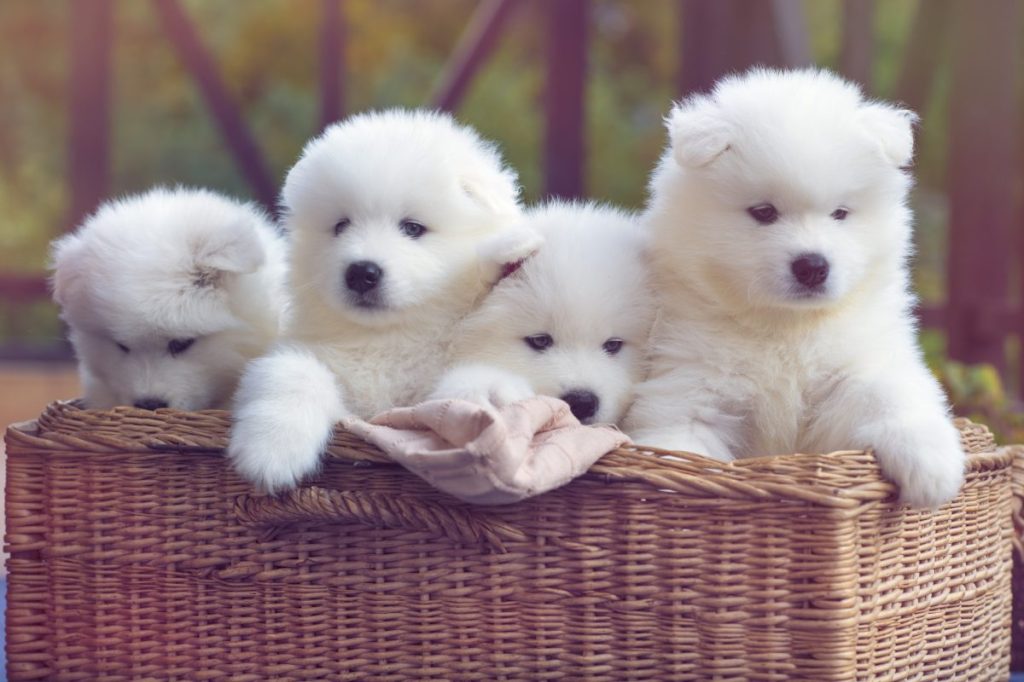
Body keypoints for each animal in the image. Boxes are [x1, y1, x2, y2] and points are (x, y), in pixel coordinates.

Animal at [231, 106, 536, 489]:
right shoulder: (305, 352)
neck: (390, 338)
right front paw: (273, 449)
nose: (362, 272)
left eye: (412, 228)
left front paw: (488, 401)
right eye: (341, 226)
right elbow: (291, 372)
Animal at [622, 69, 966, 507]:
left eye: (840, 213)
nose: (812, 266)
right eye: (764, 212)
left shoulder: (858, 364)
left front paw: (930, 464)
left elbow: (888, 392)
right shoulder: (688, 383)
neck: (786, 328)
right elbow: (680, 442)